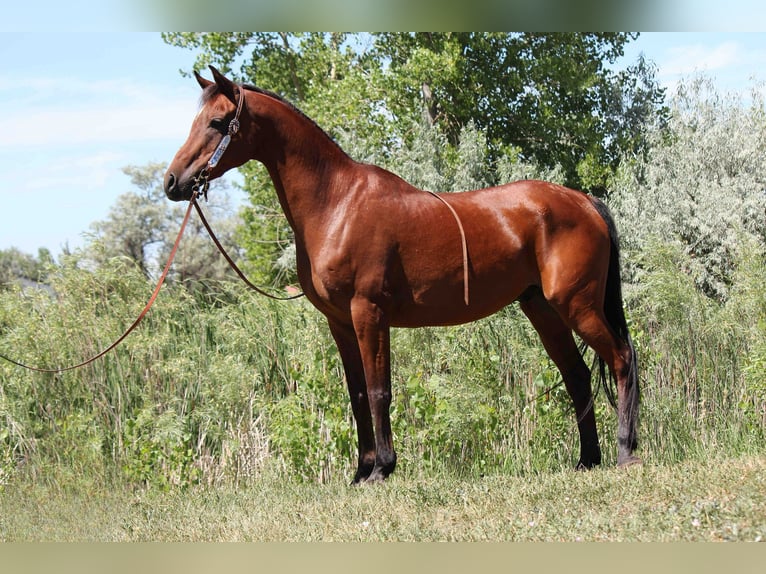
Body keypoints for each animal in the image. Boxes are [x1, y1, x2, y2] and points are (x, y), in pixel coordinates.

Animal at [164, 66, 640, 483]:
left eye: (218, 122)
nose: (173, 182)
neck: (336, 203)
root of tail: (583, 201)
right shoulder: (340, 323)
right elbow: (357, 394)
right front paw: (360, 472)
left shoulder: (368, 314)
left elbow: (379, 391)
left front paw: (382, 469)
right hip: (543, 309)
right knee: (578, 377)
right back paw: (587, 460)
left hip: (576, 305)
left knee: (621, 359)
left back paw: (624, 452)